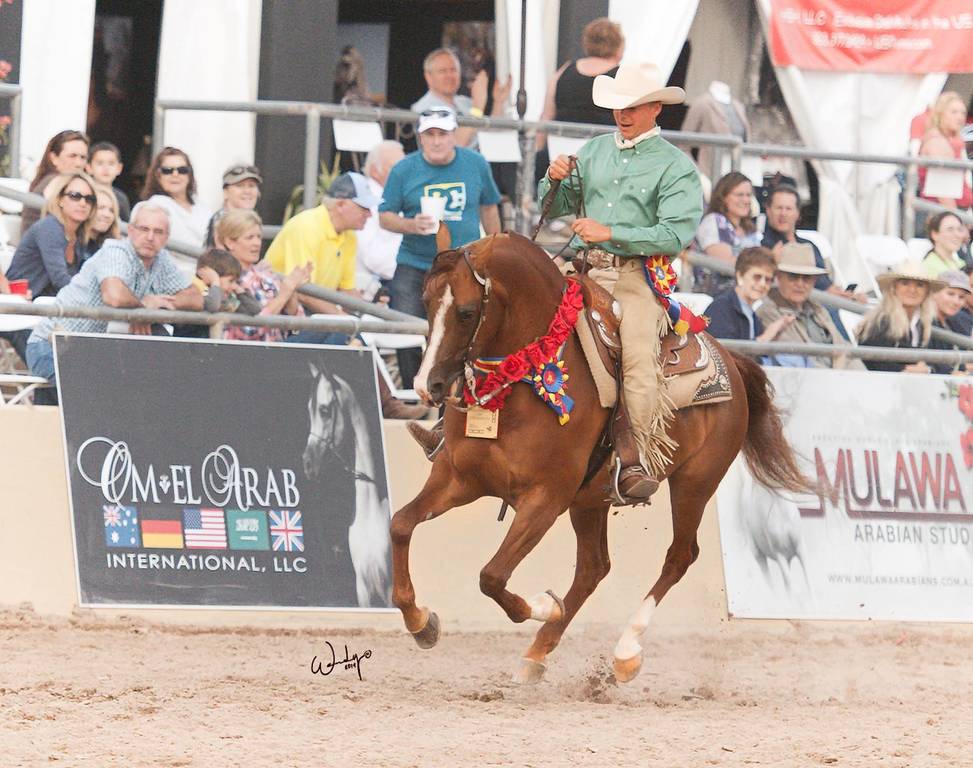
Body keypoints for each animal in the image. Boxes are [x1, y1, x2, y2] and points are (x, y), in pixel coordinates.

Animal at [303, 361, 392, 608]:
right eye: (309, 410)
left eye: (324, 410)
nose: (308, 463)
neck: (370, 514)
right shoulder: (363, 591)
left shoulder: (389, 590)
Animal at [390, 229, 809, 683]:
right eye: (426, 302)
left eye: (467, 312)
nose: (426, 385)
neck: (524, 378)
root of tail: (731, 359)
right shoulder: (457, 478)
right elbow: (401, 525)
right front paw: (421, 622)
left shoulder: (545, 499)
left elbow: (492, 575)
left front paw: (544, 605)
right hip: (590, 501)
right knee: (594, 567)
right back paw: (537, 652)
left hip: (695, 484)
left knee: (679, 557)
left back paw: (625, 650)